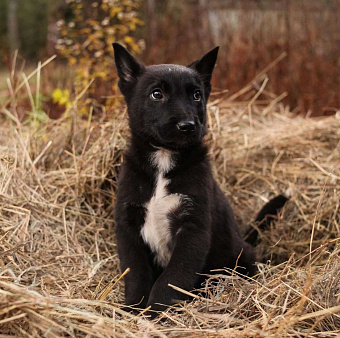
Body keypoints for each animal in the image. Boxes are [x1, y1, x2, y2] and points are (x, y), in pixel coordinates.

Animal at [112, 44, 286, 316]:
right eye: (156, 94)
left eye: (196, 95)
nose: (188, 125)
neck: (164, 161)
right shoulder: (129, 225)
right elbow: (136, 274)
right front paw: (134, 309)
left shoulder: (193, 228)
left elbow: (172, 278)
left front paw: (158, 312)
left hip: (239, 255)